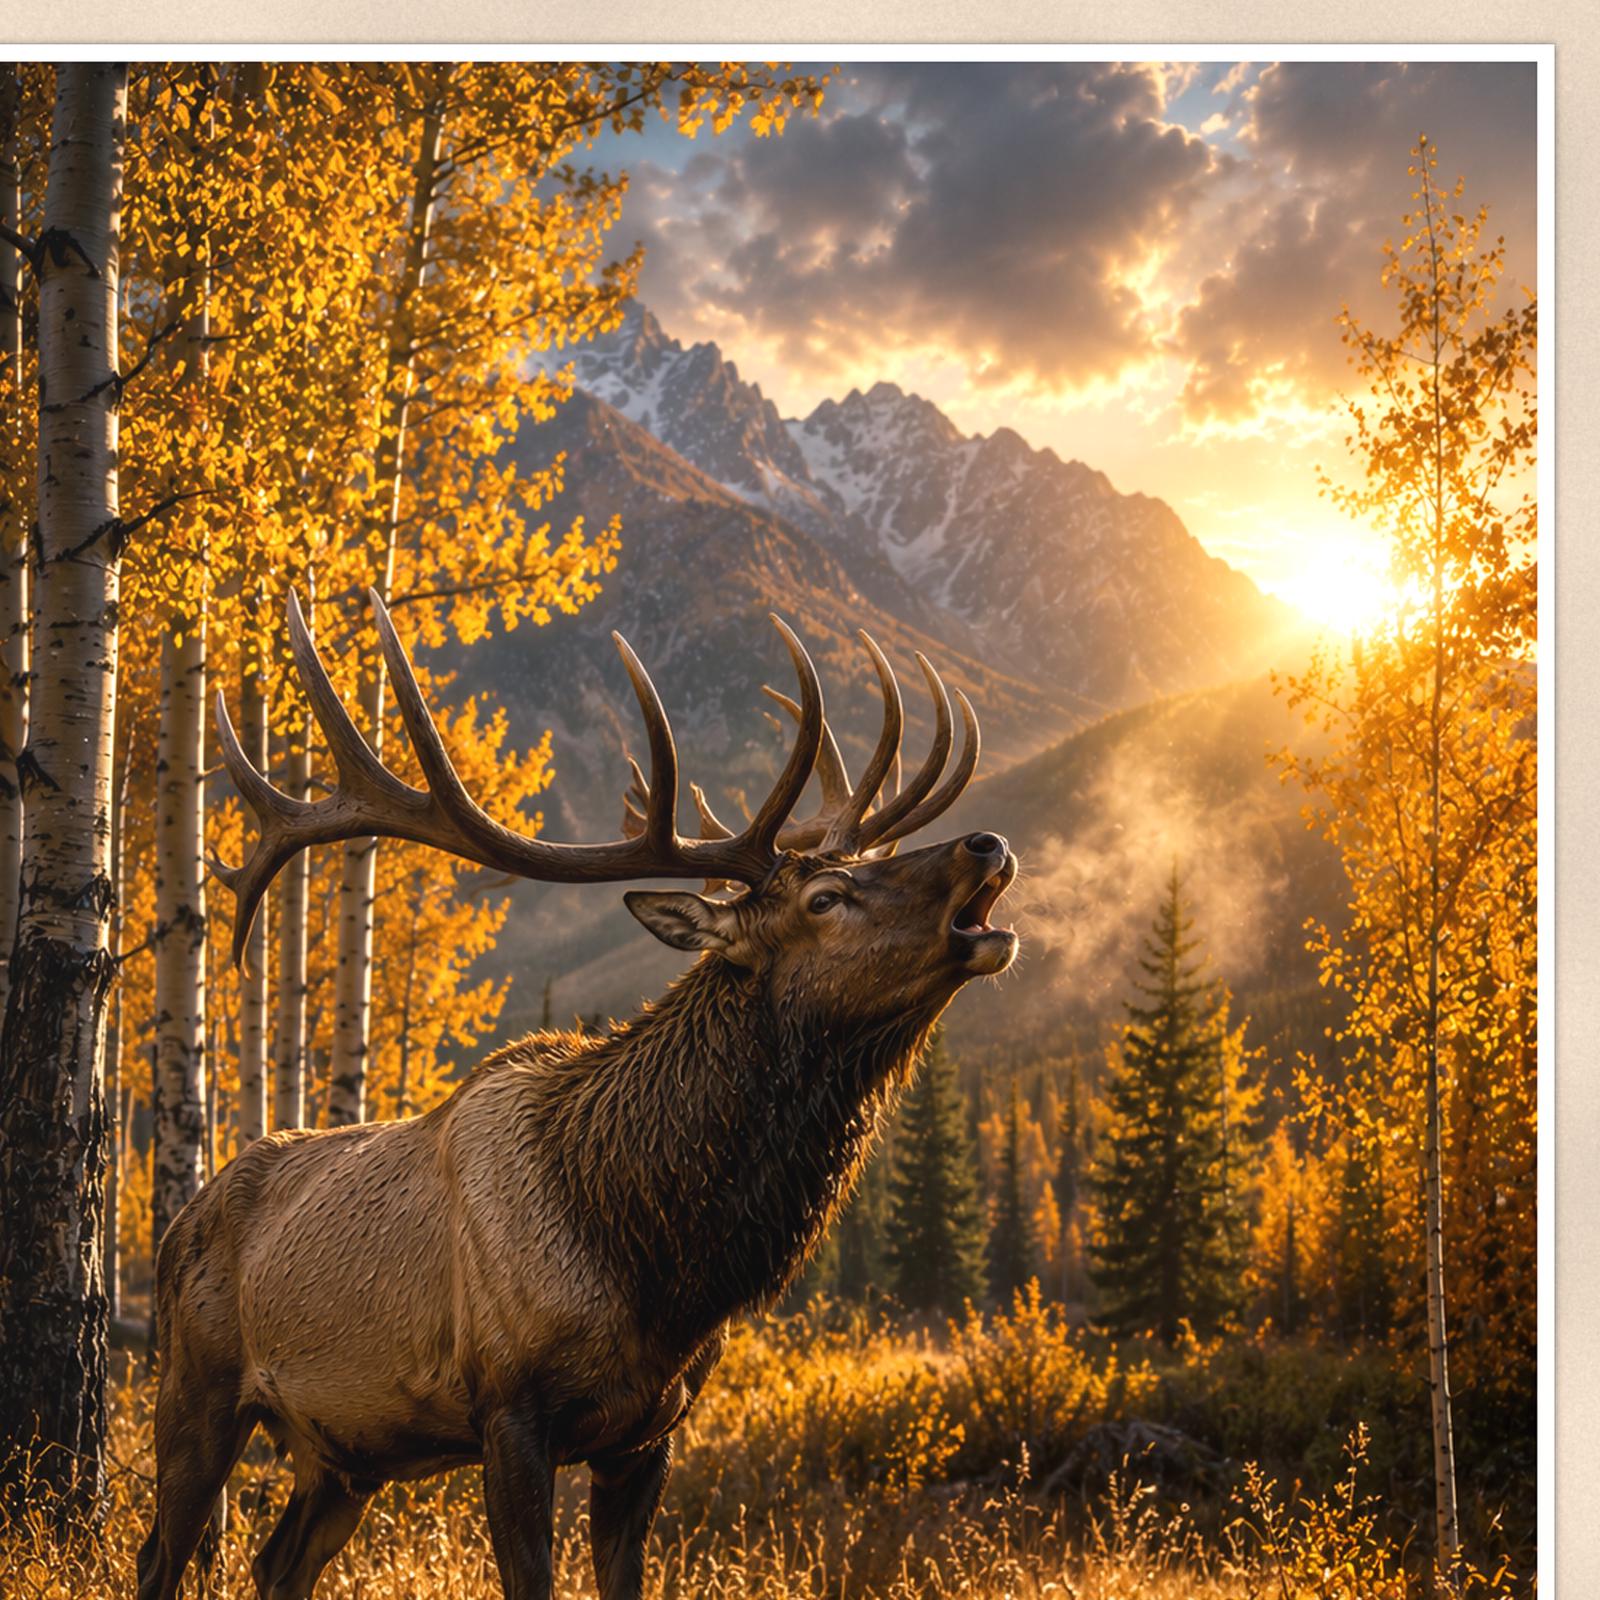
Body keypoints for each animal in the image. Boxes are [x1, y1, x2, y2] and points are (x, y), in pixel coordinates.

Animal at [136, 590, 1019, 1600]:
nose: (987, 843)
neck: (660, 1262)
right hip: (195, 1389)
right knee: (160, 1554)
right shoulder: (510, 1411)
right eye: (827, 897)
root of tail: (179, 1219)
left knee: (276, 1561)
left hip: (345, 1451)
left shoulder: (649, 1434)